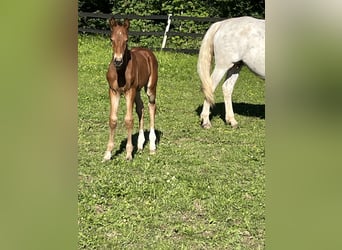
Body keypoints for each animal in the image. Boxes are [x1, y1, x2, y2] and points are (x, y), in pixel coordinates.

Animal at [103, 18, 159, 162]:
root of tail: (147, 52)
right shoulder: (113, 91)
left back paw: (152, 146)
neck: (120, 72)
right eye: (111, 39)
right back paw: (139, 144)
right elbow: (112, 120)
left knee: (152, 107)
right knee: (141, 108)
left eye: (126, 40)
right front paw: (107, 154)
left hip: (150, 88)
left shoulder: (129, 91)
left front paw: (128, 154)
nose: (117, 60)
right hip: (137, 90)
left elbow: (128, 120)